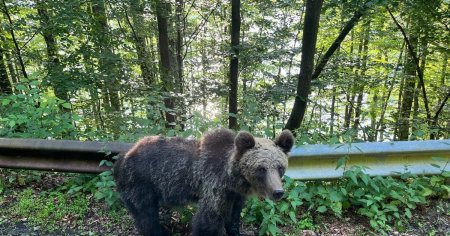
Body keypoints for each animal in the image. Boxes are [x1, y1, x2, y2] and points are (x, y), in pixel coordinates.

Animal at [114, 129, 294, 236]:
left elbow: (233, 217)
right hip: (140, 182)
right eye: (261, 168)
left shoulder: (234, 195)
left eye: (280, 167)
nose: (278, 192)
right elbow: (208, 220)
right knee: (146, 214)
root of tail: (124, 155)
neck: (231, 177)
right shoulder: (213, 184)